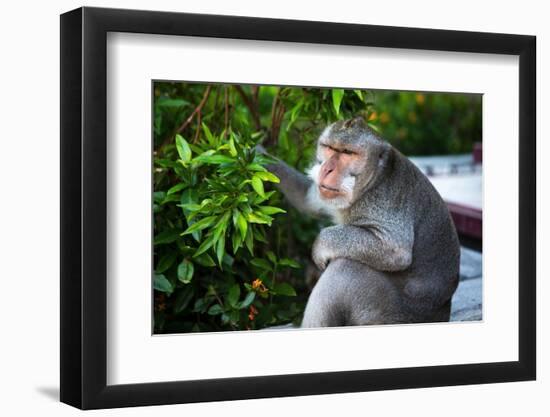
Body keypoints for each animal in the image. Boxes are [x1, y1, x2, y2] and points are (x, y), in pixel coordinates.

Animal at [264, 115, 462, 326]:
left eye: (347, 153)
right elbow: (308, 198)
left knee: (346, 268)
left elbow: (395, 250)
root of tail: (443, 313)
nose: (327, 169)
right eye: (330, 148)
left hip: (389, 314)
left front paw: (320, 245)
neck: (371, 183)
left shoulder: (383, 202)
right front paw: (260, 155)